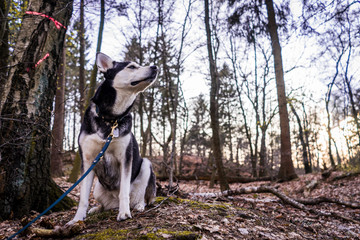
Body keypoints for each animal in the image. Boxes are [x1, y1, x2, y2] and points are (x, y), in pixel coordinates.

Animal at [67, 52, 158, 225]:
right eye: (132, 66)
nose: (155, 67)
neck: (111, 118)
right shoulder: (87, 160)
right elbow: (83, 198)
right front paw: (77, 219)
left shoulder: (126, 158)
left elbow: (124, 191)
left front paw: (124, 213)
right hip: (97, 188)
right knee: (104, 204)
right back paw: (97, 208)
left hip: (146, 165)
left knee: (141, 197)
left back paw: (138, 206)